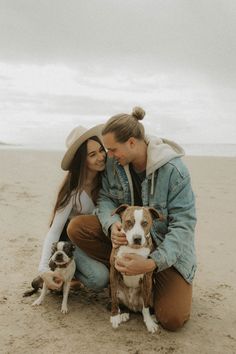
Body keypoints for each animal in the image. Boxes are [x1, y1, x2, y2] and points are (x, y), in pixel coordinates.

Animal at [109, 203, 161, 334]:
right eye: (128, 222)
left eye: (145, 223)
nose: (137, 238)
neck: (133, 249)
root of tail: (133, 306)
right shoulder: (113, 270)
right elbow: (114, 300)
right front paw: (114, 317)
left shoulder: (147, 276)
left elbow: (146, 307)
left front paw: (149, 323)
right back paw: (122, 314)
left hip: (151, 293)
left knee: (145, 307)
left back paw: (152, 316)